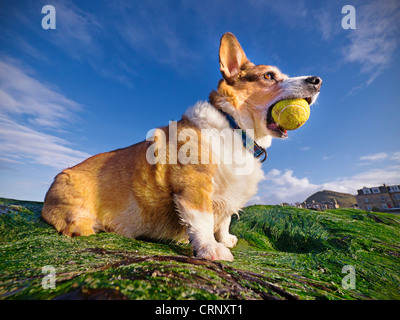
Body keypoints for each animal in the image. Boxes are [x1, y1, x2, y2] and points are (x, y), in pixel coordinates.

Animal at [41, 32, 322, 262]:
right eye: (269, 76)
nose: (317, 80)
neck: (236, 128)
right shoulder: (195, 186)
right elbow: (203, 220)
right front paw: (211, 248)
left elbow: (224, 219)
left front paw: (225, 238)